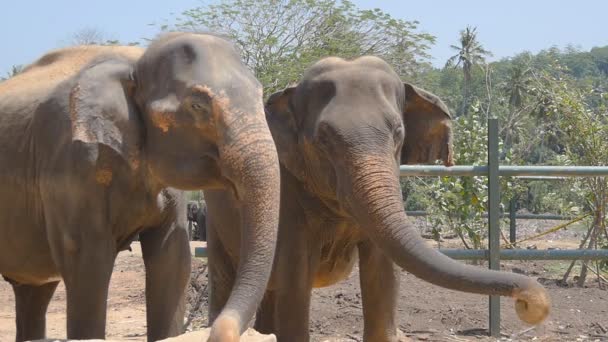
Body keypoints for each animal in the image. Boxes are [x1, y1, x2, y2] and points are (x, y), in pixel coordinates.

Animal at [0, 32, 280, 342]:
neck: (135, 62)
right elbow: (86, 260)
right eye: (197, 106)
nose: (216, 330)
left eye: (259, 93)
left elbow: (172, 257)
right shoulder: (71, 162)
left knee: (34, 292)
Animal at [204, 56, 552, 342]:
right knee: (228, 281)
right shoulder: (285, 194)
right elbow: (296, 279)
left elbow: (383, 274)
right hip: (216, 222)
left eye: (398, 133)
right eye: (323, 139)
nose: (529, 304)